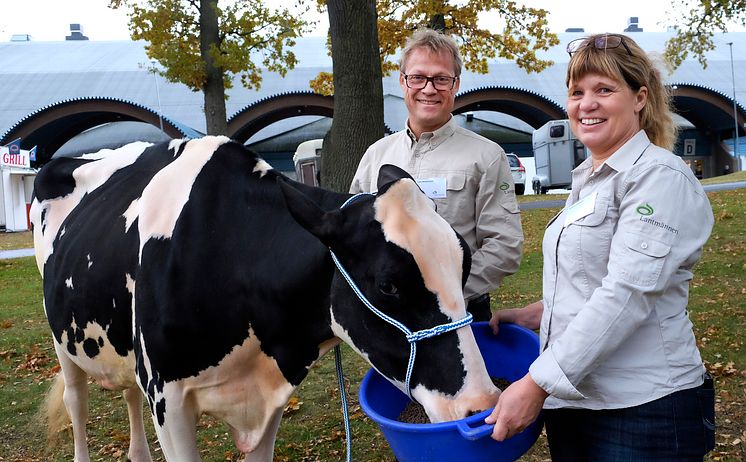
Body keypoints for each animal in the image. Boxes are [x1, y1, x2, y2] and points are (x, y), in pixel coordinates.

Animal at [29, 135, 496, 460]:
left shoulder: (267, 395)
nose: (482, 404)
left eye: (465, 263)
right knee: (76, 403)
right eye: (389, 285)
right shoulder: (168, 400)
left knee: (126, 392)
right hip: (61, 342)